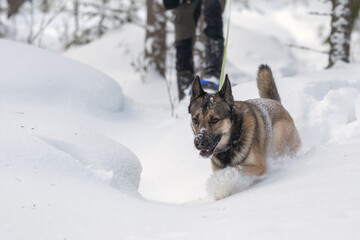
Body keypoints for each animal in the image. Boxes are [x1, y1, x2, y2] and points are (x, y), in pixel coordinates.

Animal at [188, 63, 300, 199]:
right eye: (195, 120)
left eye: (214, 120)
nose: (199, 142)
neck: (232, 142)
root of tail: (276, 102)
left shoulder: (259, 166)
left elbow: (234, 169)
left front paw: (219, 185)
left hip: (279, 139)